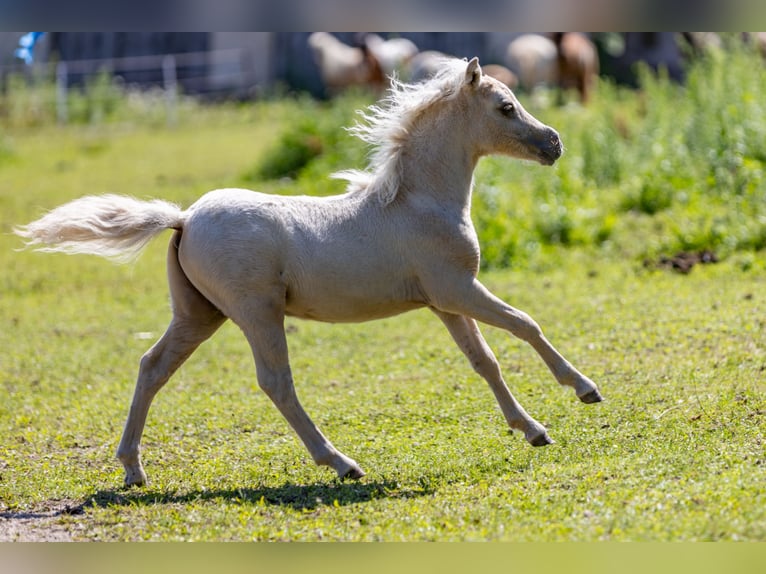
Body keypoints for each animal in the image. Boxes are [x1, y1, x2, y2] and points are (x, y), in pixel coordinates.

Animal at [15, 58, 608, 488]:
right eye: (506, 106)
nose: (553, 143)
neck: (415, 203)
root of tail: (183, 217)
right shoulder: (458, 288)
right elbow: (526, 323)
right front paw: (584, 389)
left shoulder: (444, 302)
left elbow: (485, 362)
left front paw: (533, 430)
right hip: (256, 312)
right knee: (276, 382)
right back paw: (342, 463)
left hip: (198, 314)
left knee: (152, 367)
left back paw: (134, 469)